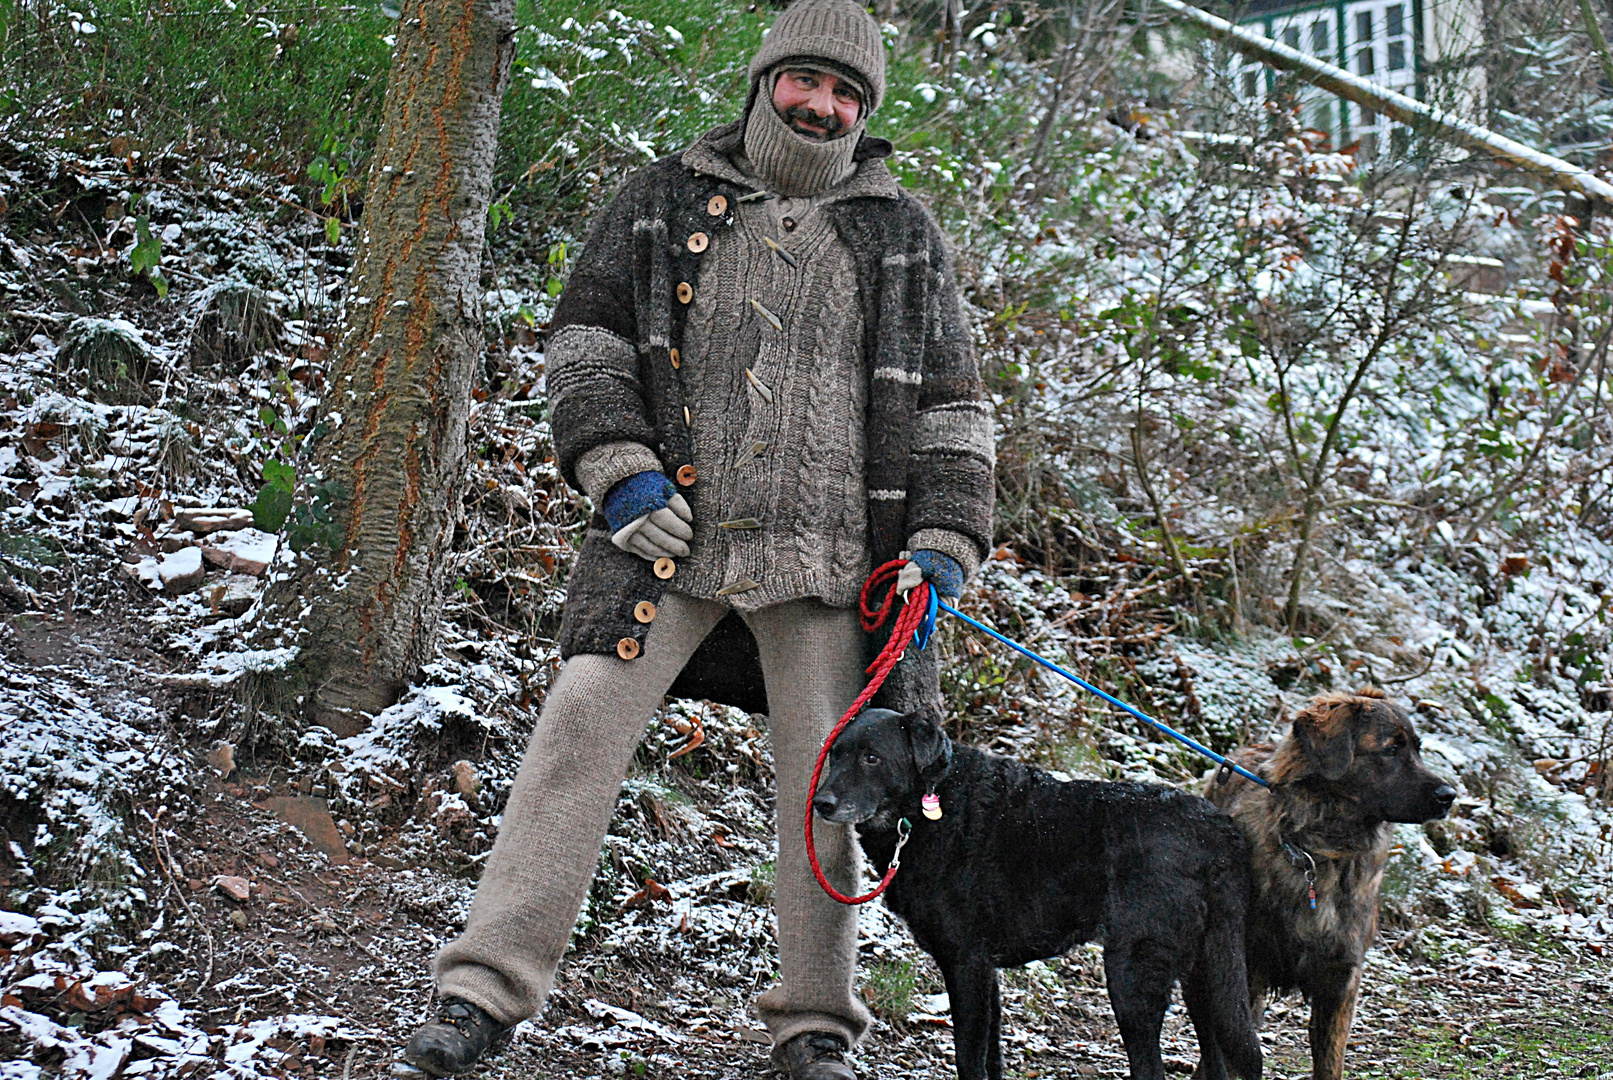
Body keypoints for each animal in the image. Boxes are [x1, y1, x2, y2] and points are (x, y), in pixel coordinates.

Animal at [819, 709, 1258, 1080]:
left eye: (872, 758)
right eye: (834, 756)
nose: (822, 803)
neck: (933, 801)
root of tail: (1218, 828)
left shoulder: (965, 964)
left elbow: (968, 1059)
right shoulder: (986, 972)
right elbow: (991, 1060)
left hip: (1133, 975)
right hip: (1206, 975)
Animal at [1206, 693, 1458, 1080]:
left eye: (1417, 749)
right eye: (1391, 749)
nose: (1450, 795)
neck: (1321, 852)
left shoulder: (1340, 979)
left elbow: (1329, 1061)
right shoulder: (1246, 968)